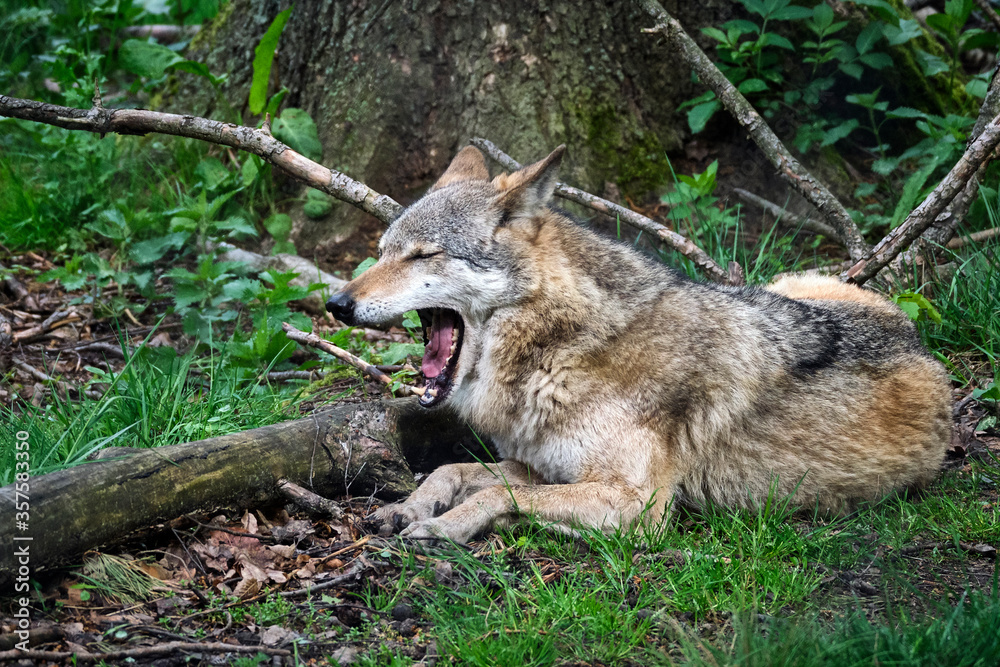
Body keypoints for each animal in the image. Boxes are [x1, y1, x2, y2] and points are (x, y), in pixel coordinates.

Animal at [326, 145, 952, 544]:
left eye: (424, 255)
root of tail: (918, 341)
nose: (336, 304)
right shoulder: (543, 467)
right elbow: (453, 471)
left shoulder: (637, 503)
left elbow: (494, 496)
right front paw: (409, 507)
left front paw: (445, 525)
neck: (563, 350)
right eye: (382, 252)